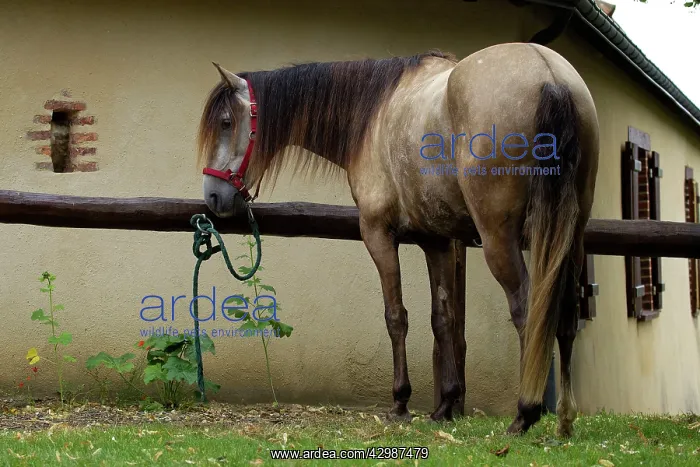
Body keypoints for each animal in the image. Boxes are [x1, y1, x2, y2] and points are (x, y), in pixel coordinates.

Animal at [196, 43, 599, 438]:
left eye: (227, 122)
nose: (213, 195)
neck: (373, 114)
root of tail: (548, 74)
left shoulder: (377, 233)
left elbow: (396, 317)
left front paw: (400, 403)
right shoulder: (437, 241)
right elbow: (443, 319)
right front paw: (444, 406)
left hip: (500, 239)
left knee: (529, 311)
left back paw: (525, 413)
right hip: (570, 237)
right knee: (564, 313)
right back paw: (565, 419)